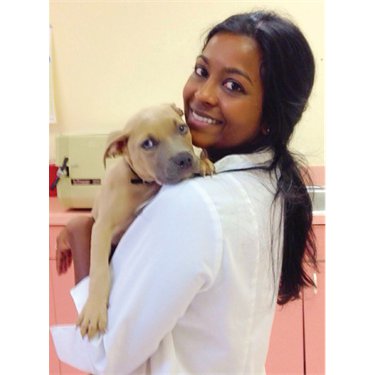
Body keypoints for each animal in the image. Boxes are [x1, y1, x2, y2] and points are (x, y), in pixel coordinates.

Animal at [76, 103, 214, 340]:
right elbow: (99, 270)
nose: (185, 159)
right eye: (147, 144)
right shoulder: (102, 227)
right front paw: (94, 310)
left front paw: (205, 162)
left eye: (182, 128)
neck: (142, 184)